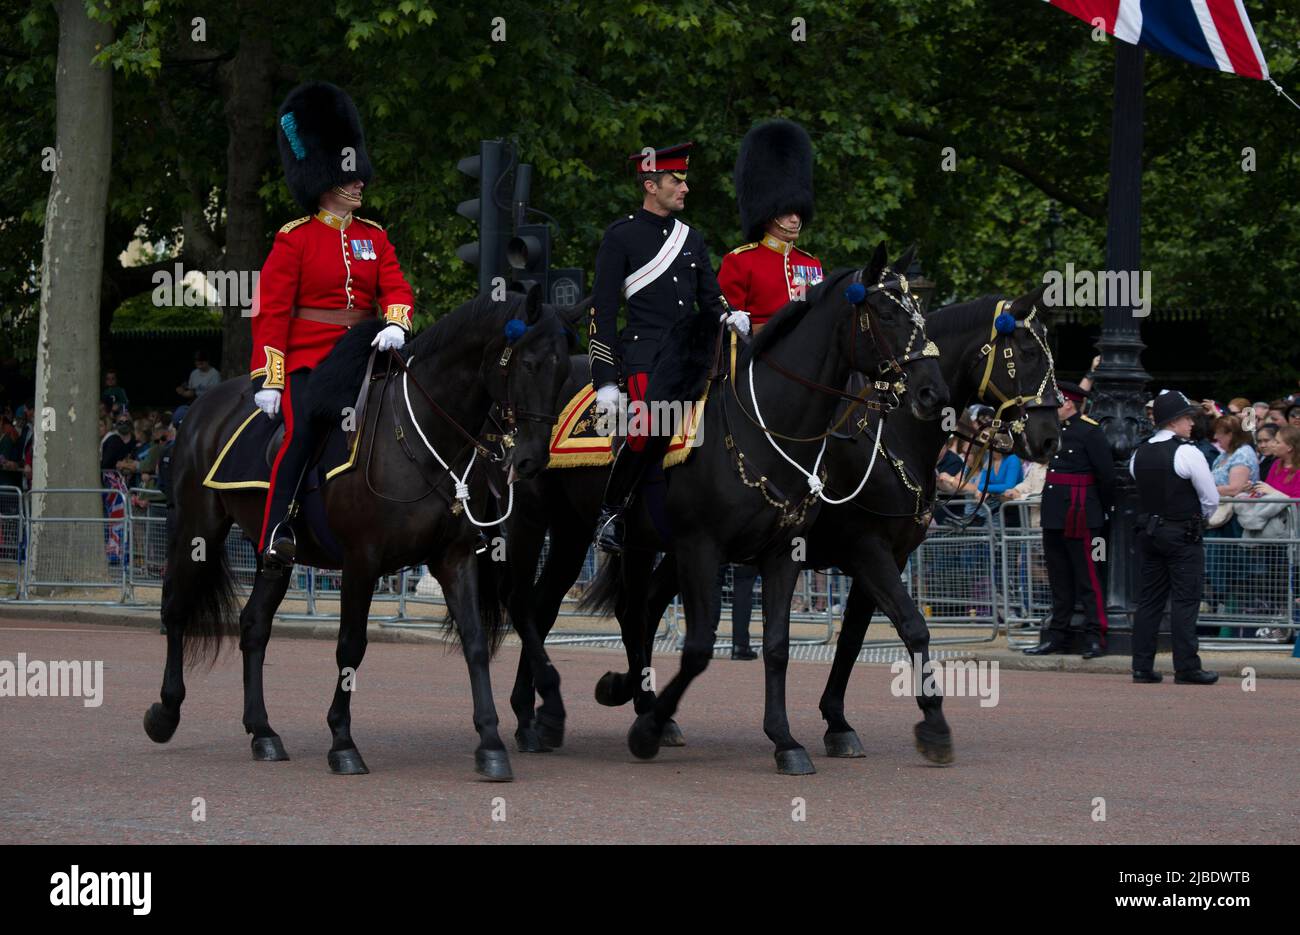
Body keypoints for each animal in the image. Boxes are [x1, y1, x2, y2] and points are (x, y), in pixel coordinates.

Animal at [141, 287, 579, 780]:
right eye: (529, 364)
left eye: (565, 370)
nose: (530, 460)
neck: (419, 434)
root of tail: (202, 407)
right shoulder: (361, 560)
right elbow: (351, 647)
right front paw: (342, 742)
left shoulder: (455, 557)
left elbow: (475, 643)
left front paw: (490, 742)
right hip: (198, 528)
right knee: (176, 609)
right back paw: (166, 713)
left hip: (273, 552)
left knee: (253, 625)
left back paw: (263, 732)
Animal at [577, 243, 946, 775]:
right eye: (886, 310)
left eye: (920, 308)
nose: (932, 393)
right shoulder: (710, 548)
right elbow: (698, 648)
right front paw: (645, 730)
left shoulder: (786, 552)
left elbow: (782, 645)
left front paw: (787, 740)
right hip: (616, 541)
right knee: (618, 612)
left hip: (659, 548)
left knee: (641, 612)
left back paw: (636, 699)